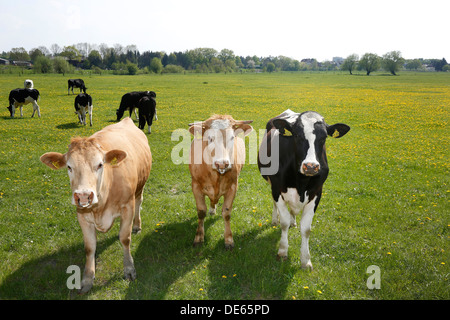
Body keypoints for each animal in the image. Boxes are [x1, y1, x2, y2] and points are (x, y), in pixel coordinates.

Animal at [39, 118, 151, 296]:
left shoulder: (127, 207)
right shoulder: (82, 215)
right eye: (69, 167)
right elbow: (89, 247)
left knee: (139, 202)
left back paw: (137, 225)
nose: (84, 195)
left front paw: (129, 268)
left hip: (140, 187)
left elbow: (124, 238)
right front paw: (87, 279)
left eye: (100, 164)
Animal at [188, 115, 253, 250]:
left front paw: (228, 240)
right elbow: (201, 212)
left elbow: (226, 213)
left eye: (232, 137)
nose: (222, 164)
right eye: (210, 138)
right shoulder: (195, 186)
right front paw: (199, 238)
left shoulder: (233, 187)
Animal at [258, 109, 350, 270]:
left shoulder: (317, 193)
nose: (311, 166)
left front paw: (306, 260)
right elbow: (283, 223)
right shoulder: (277, 188)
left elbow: (306, 229)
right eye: (297, 135)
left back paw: (293, 221)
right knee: (276, 206)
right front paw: (282, 251)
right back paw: (275, 219)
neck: (301, 181)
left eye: (324, 137)